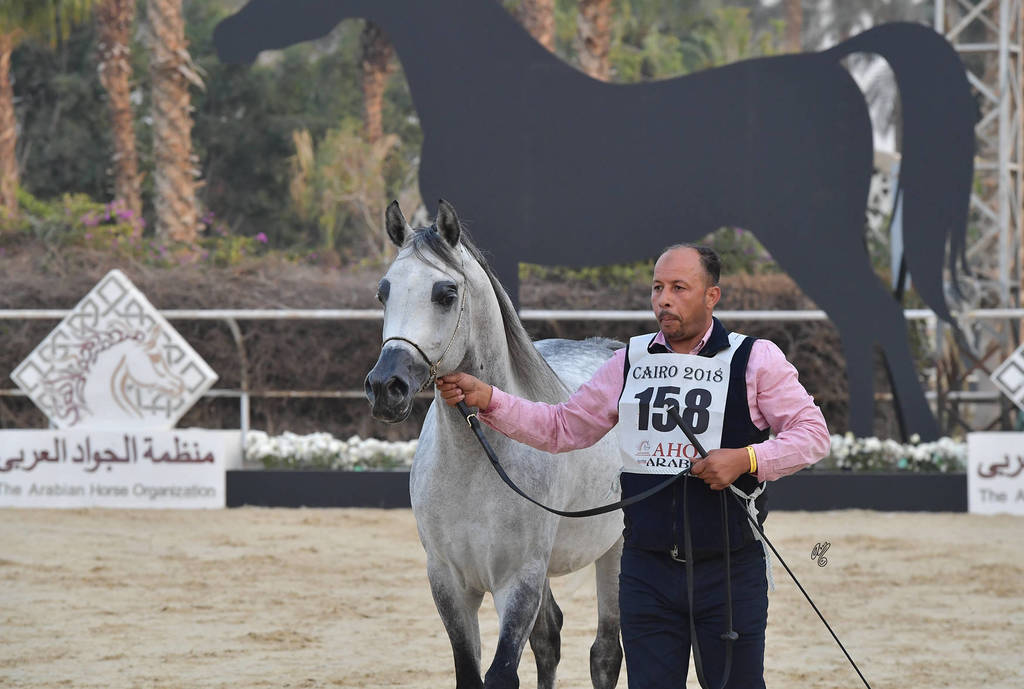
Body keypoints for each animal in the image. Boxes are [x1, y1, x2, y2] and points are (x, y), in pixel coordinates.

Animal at [215, 0, 975, 440]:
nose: (224, 33)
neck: (488, 88)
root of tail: (833, 63)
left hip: (811, 237)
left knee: (876, 315)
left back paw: (912, 437)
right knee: (863, 318)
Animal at [365, 200, 625, 689]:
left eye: (446, 293)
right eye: (383, 292)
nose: (386, 387)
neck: (475, 465)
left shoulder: (518, 582)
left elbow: (502, 674)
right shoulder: (449, 583)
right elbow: (473, 672)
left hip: (614, 551)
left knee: (605, 652)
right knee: (549, 639)